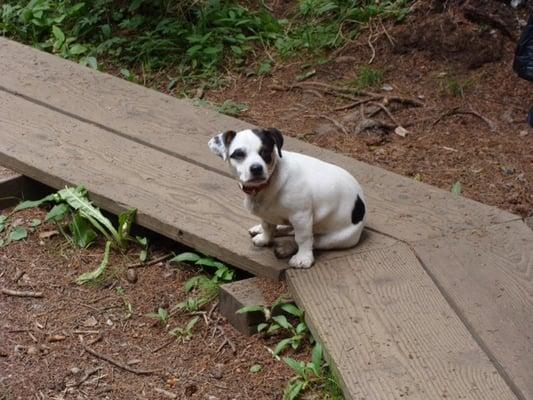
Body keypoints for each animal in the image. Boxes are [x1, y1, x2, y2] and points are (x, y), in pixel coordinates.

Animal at [208, 128, 366, 268]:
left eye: (265, 152)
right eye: (239, 154)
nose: (256, 168)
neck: (268, 183)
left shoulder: (301, 216)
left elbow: (303, 238)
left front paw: (303, 258)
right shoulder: (267, 215)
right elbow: (268, 227)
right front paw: (265, 238)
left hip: (336, 238)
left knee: (313, 240)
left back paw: (287, 248)